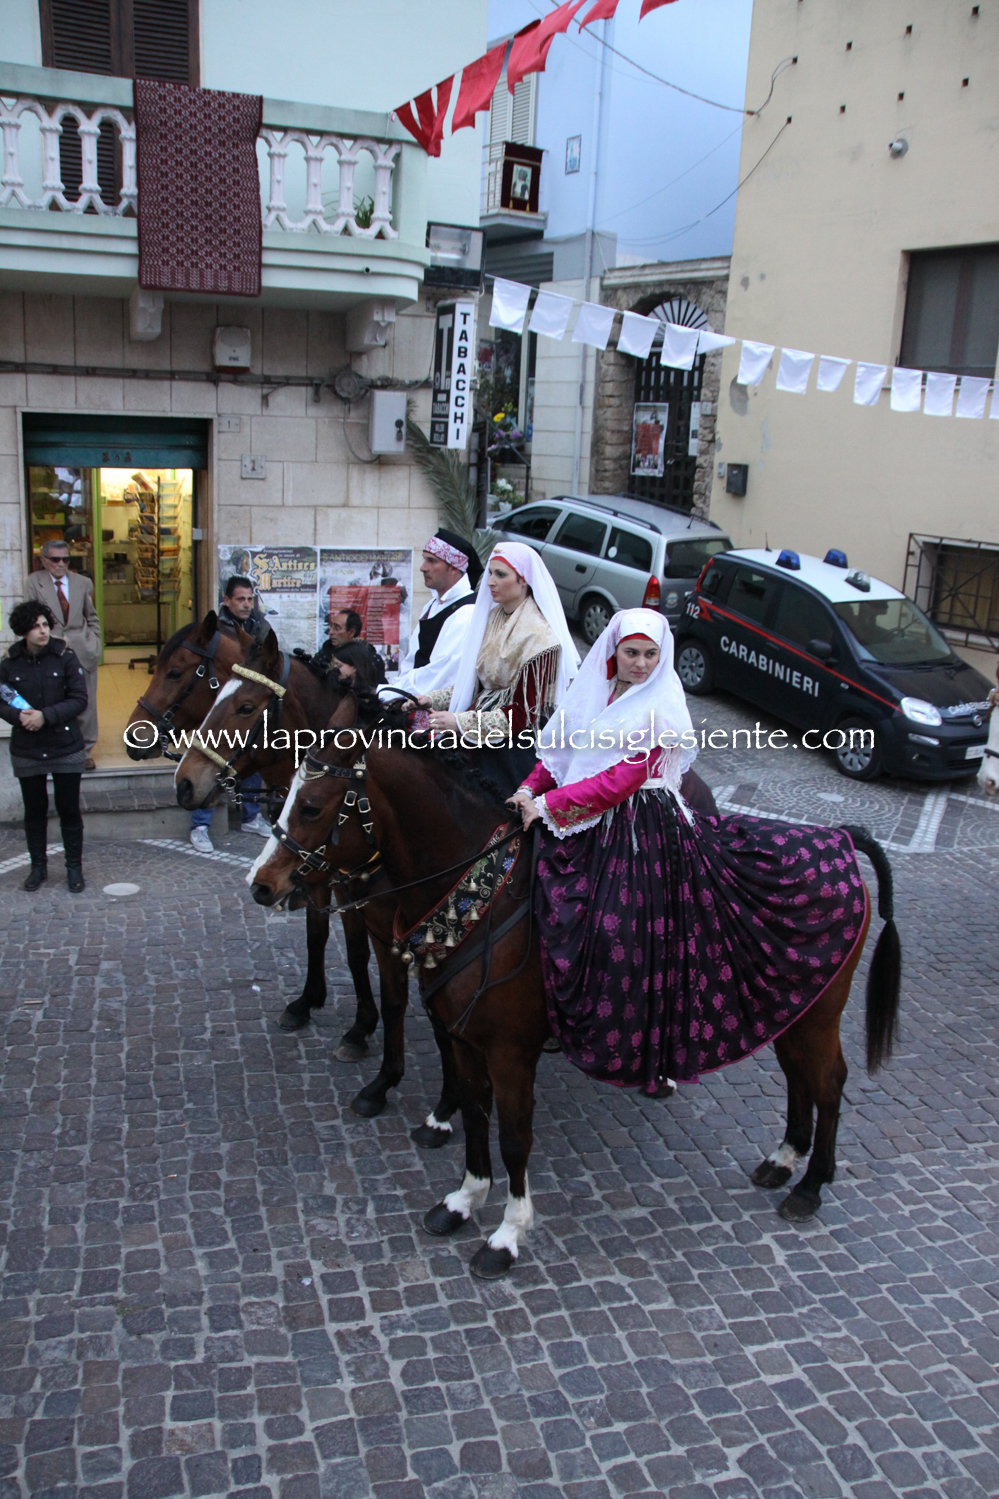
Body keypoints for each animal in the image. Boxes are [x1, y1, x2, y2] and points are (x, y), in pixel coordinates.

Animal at [248, 690, 902, 1280]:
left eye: (312, 806)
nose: (261, 884)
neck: (480, 896)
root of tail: (842, 838)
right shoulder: (462, 1035)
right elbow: (476, 1116)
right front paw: (463, 1200)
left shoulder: (510, 1050)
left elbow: (515, 1136)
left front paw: (507, 1235)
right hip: (794, 1003)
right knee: (800, 1076)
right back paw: (784, 1159)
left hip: (819, 1012)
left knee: (828, 1080)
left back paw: (810, 1186)